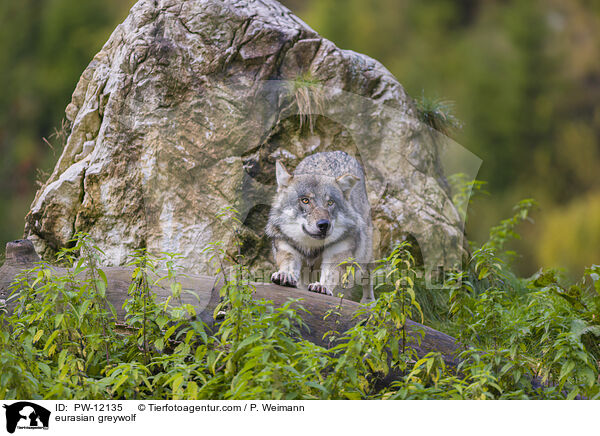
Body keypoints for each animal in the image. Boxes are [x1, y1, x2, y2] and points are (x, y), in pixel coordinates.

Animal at [264, 152, 372, 302]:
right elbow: (288, 266)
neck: (312, 247)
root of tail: (335, 152)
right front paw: (285, 275)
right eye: (305, 200)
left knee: (367, 276)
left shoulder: (337, 253)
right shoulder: (288, 248)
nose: (324, 224)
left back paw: (369, 302)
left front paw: (322, 287)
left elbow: (330, 275)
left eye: (330, 202)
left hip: (364, 257)